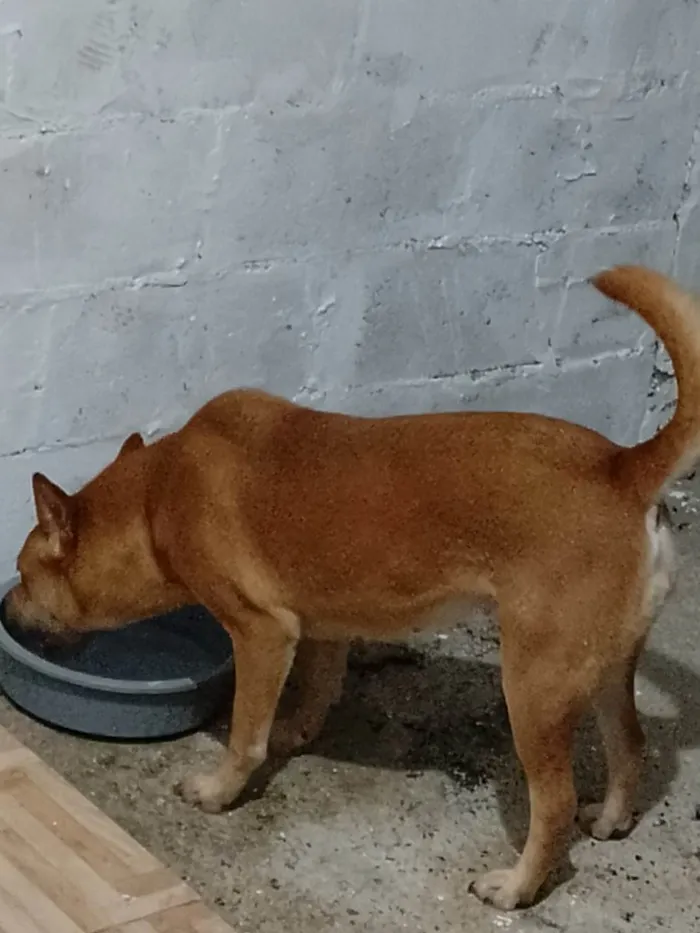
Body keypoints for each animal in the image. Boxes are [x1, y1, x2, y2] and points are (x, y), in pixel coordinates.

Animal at [5, 266, 696, 908]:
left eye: (25, 575)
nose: (6, 610)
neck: (156, 497)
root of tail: (623, 468)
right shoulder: (319, 623)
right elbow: (318, 685)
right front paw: (298, 731)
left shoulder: (262, 631)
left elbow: (246, 735)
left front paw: (219, 791)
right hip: (605, 668)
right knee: (630, 746)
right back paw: (612, 820)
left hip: (535, 687)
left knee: (554, 802)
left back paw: (518, 886)